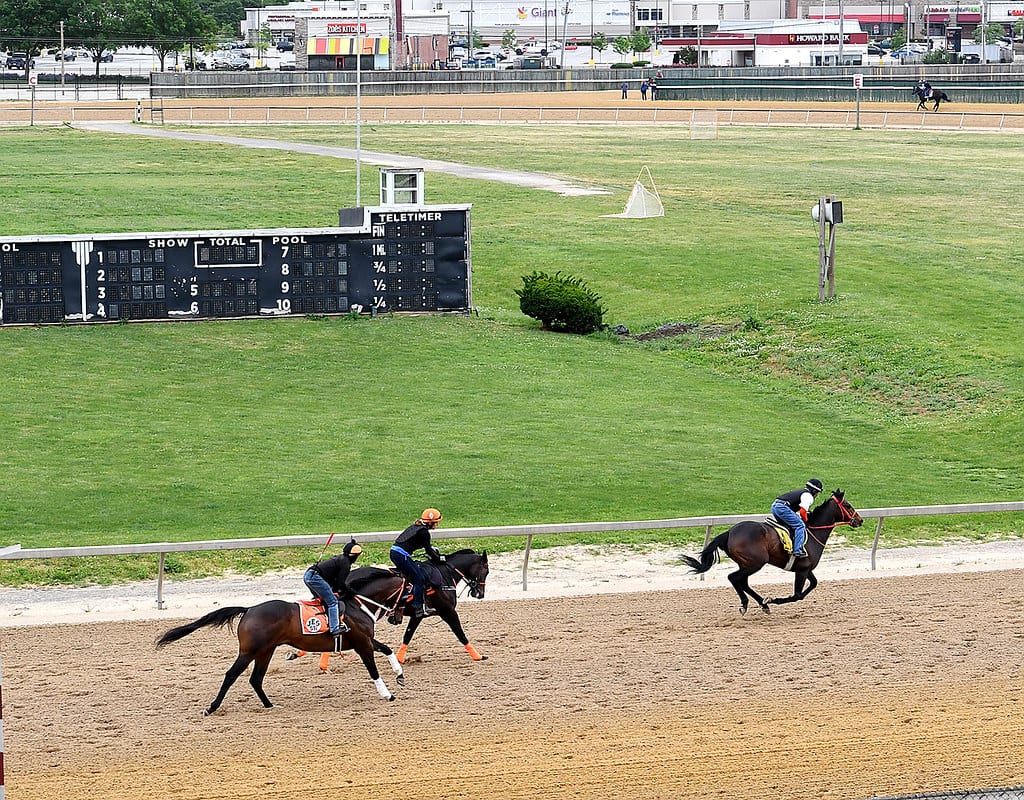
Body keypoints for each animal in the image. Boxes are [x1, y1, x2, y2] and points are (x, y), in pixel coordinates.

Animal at [155, 594, 403, 712]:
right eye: (408, 590)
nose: (397, 618)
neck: (355, 606)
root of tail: (249, 609)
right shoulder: (362, 644)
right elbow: (372, 669)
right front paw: (387, 694)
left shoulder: (366, 640)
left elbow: (387, 648)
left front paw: (400, 675)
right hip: (249, 651)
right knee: (231, 675)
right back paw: (212, 707)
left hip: (266, 650)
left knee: (256, 679)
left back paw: (269, 705)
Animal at [684, 487, 860, 610]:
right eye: (848, 505)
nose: (860, 520)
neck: (813, 532)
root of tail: (729, 532)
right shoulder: (802, 569)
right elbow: (797, 595)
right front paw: (775, 600)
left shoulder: (805, 568)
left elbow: (813, 584)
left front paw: (770, 600)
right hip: (756, 562)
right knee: (733, 578)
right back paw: (748, 603)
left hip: (746, 563)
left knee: (743, 582)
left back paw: (762, 604)